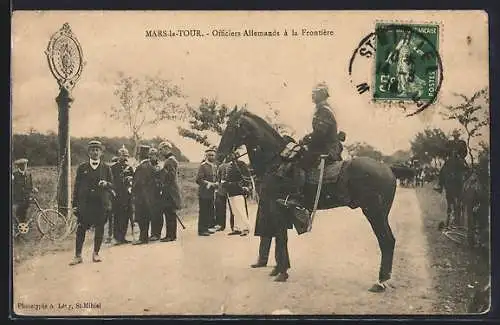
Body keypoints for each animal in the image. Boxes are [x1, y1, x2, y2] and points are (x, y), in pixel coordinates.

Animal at [217, 108, 396, 292]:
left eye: (232, 128)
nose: (219, 155)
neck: (275, 162)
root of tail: (387, 169)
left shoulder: (277, 209)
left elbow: (281, 238)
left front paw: (282, 273)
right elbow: (280, 239)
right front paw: (279, 269)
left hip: (374, 214)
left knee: (386, 241)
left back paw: (380, 282)